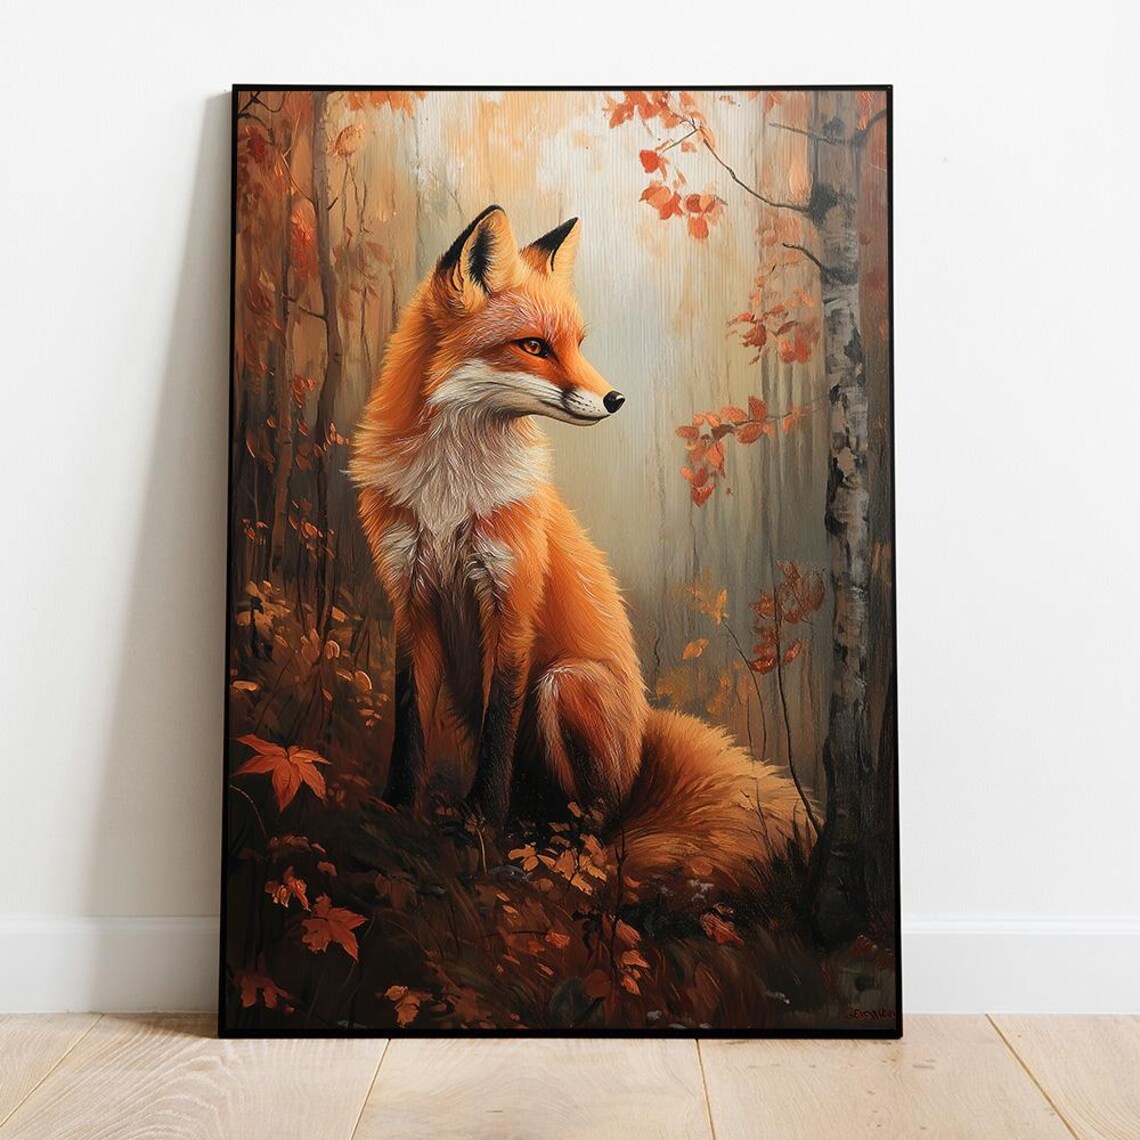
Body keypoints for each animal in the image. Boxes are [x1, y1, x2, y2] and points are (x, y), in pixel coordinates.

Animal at [350, 205, 807, 891]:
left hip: (565, 684)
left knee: (594, 820)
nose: (616, 399)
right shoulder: (410, 598)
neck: (449, 493)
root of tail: (642, 749)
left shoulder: (511, 600)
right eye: (534, 346)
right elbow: (409, 724)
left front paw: (483, 827)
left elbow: (498, 732)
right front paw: (398, 812)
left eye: (577, 345)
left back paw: (551, 847)